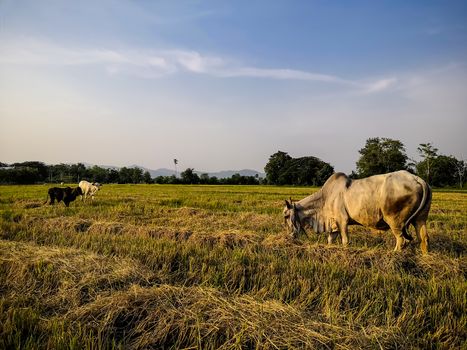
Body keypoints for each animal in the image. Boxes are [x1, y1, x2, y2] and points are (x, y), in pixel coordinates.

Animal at [284, 171, 434, 253]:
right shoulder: (333, 225)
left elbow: (345, 241)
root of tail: (417, 179)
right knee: (424, 238)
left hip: (395, 221)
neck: (324, 199)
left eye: (286, 215)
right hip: (420, 218)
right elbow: (330, 240)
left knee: (401, 240)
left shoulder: (342, 221)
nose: (289, 236)